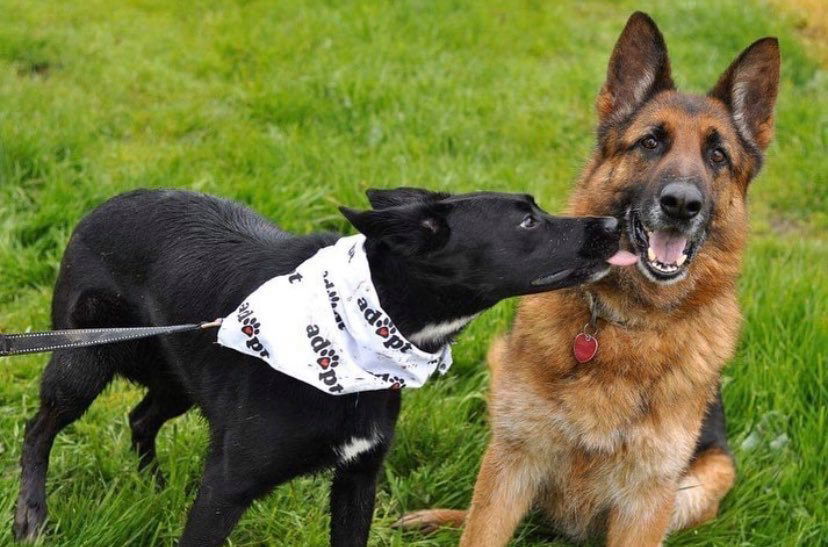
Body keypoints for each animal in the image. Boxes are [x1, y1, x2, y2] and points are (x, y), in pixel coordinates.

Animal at [12, 186, 632, 544]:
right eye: (527, 222)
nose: (615, 224)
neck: (367, 328)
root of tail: (100, 206)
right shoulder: (225, 488)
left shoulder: (358, 480)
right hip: (83, 358)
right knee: (39, 428)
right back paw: (31, 517)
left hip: (179, 373)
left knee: (141, 417)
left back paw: (154, 485)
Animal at [398, 12, 780, 547]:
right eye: (651, 142)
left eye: (718, 156)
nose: (681, 204)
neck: (627, 322)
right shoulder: (513, 462)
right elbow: (481, 529)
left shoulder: (646, 502)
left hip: (708, 478)